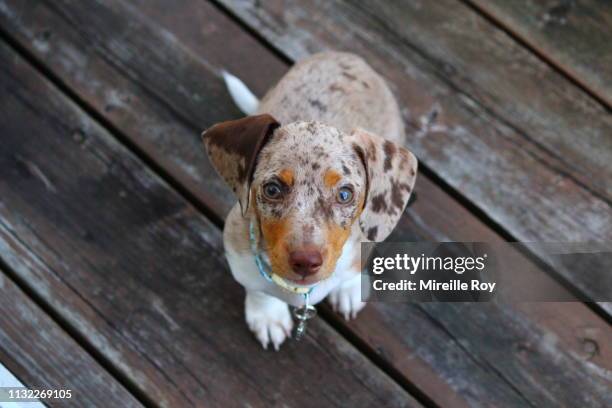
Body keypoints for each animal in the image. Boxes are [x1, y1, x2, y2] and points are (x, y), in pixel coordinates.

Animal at [201, 51, 416, 350]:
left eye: (345, 194)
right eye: (272, 189)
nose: (306, 261)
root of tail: (350, 57)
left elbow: (355, 264)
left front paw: (349, 289)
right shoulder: (239, 256)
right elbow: (258, 290)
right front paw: (268, 317)